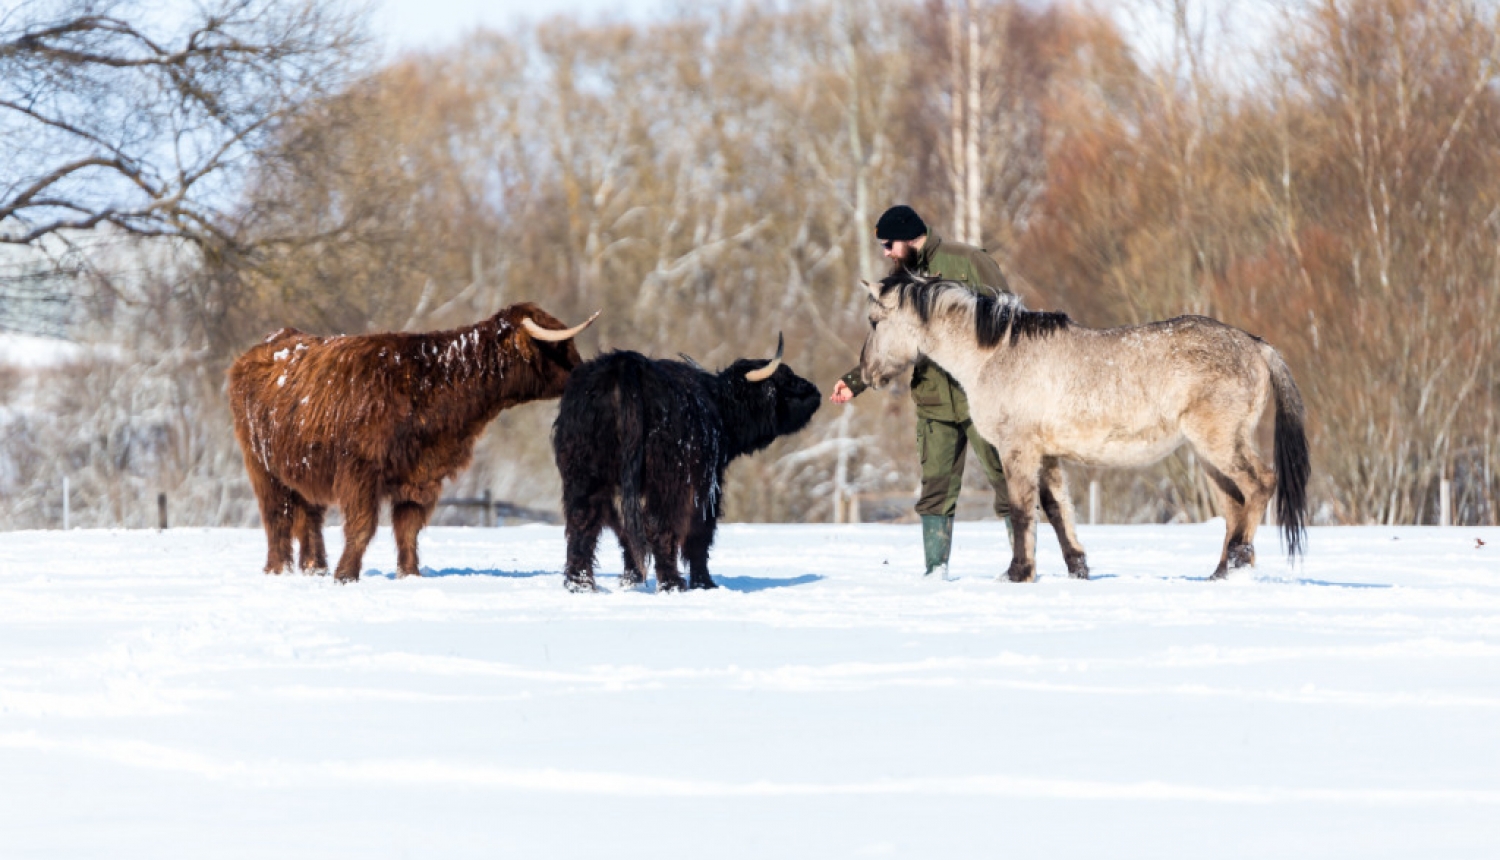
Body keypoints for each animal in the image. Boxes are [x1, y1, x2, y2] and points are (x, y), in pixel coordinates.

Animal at [225, 303, 594, 582]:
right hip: (261, 465)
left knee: (307, 515)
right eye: (560, 347)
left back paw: (314, 568)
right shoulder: (360, 473)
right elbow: (363, 526)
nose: (583, 372)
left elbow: (408, 528)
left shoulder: (421, 474)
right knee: (277, 516)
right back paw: (278, 570)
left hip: (302, 467)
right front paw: (346, 576)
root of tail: (264, 345)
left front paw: (409, 574)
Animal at [555, 333, 822, 591]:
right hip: (664, 481)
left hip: (584, 474)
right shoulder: (707, 486)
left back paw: (581, 584)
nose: (816, 392)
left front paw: (631, 579)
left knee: (583, 521)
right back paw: (672, 583)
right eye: (786, 380)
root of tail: (624, 363)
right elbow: (700, 533)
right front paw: (704, 583)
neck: (719, 407)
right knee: (658, 526)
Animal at [864, 271, 1308, 579]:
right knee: (1235, 505)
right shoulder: (1047, 456)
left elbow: (1023, 511)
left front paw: (1017, 573)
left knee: (1260, 485)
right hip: (1207, 455)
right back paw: (1221, 572)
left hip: (1220, 444)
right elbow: (1058, 509)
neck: (994, 355)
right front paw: (1077, 567)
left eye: (873, 321)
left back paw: (1239, 556)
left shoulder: (1017, 450)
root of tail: (1256, 345)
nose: (867, 373)